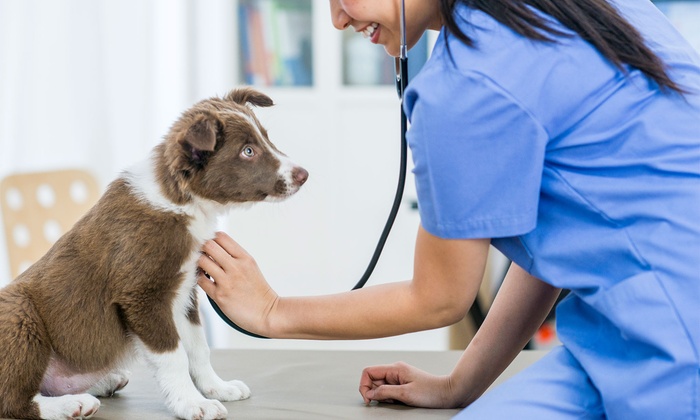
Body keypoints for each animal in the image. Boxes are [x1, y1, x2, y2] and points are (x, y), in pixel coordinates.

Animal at [0, 87, 308, 418]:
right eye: (247, 151)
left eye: (266, 138)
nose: (304, 175)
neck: (182, 201)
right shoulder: (143, 296)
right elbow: (174, 356)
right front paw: (192, 403)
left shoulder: (184, 293)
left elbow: (198, 347)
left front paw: (217, 388)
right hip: (19, 315)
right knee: (13, 400)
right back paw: (72, 404)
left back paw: (102, 383)